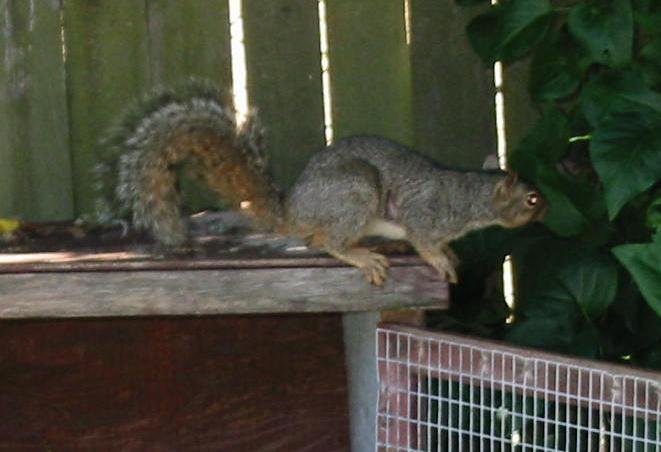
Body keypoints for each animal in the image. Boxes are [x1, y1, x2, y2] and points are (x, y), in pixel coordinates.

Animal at [95, 80, 547, 285]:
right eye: (531, 198)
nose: (547, 209)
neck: (470, 195)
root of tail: (290, 212)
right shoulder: (427, 214)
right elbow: (423, 239)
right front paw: (439, 259)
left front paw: (449, 254)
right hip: (355, 193)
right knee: (325, 241)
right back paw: (361, 256)